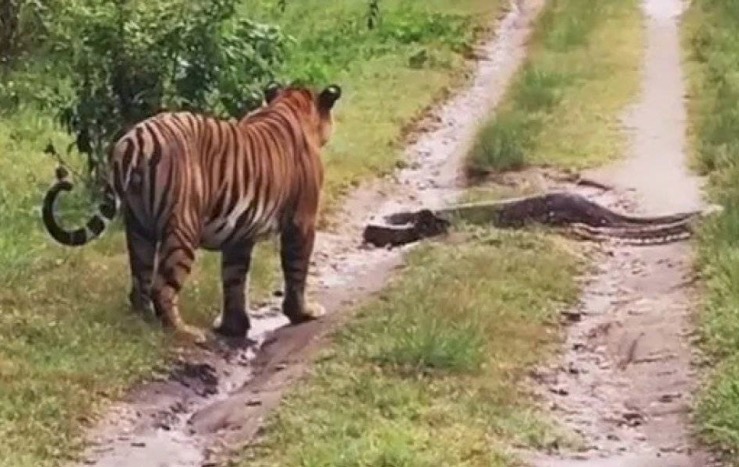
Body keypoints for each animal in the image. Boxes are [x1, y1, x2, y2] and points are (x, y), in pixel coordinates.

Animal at [41, 82, 342, 343]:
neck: (289, 106)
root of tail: (134, 141)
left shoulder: (240, 234)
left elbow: (234, 279)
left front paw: (233, 326)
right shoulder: (301, 221)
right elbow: (296, 270)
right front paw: (302, 313)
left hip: (138, 227)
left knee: (140, 282)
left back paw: (144, 322)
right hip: (182, 229)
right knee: (162, 287)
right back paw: (184, 331)